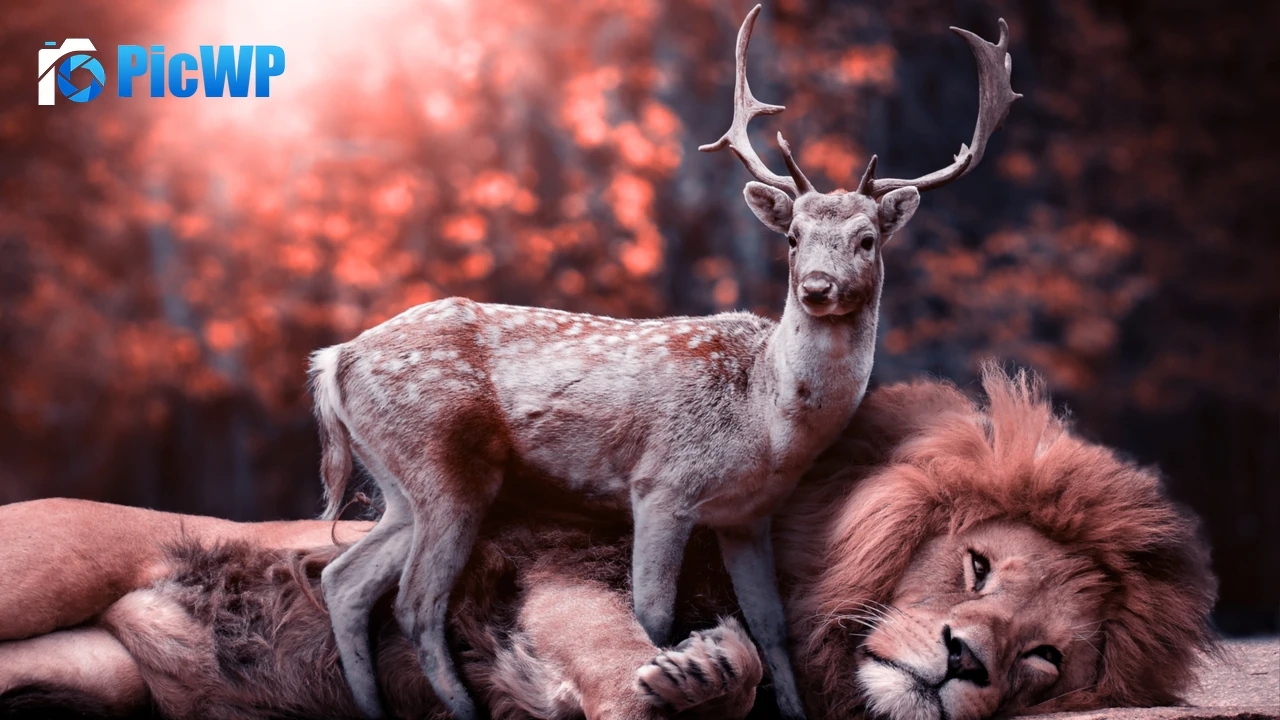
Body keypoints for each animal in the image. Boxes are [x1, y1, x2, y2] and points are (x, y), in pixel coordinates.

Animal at [0, 369, 1218, 719]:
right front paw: (687, 679)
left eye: (1044, 661)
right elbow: (616, 647)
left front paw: (705, 676)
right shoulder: (558, 563)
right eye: (975, 566)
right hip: (41, 567)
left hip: (97, 672)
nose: (966, 661)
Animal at [308, 6, 1019, 719]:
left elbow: (773, 626)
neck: (767, 422)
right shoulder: (661, 485)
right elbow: (652, 616)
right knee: (416, 601)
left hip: (400, 483)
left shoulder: (748, 515)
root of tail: (335, 358)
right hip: (444, 464)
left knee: (345, 578)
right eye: (793, 237)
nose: (817, 287)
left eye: (867, 239)